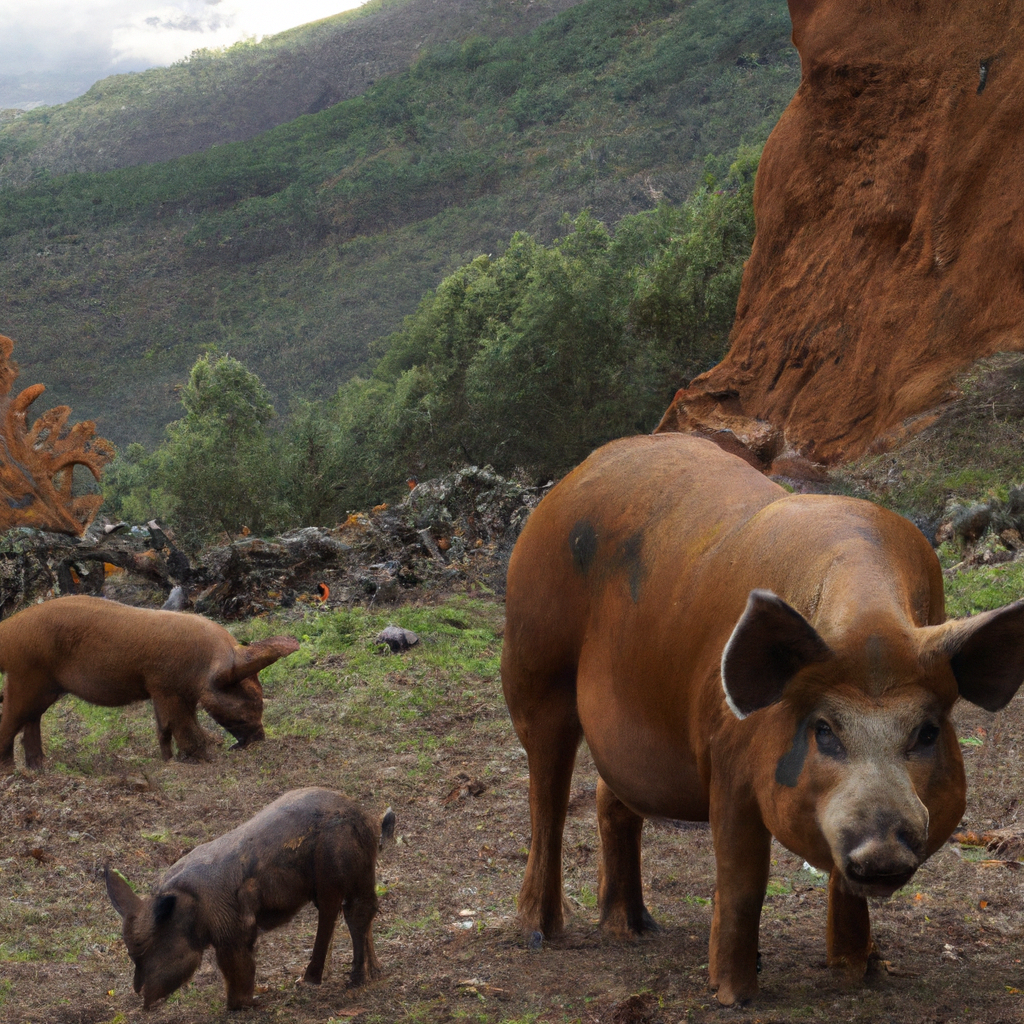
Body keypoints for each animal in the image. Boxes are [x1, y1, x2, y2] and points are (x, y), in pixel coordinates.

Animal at [0, 593, 299, 770]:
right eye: (248, 701)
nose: (259, 739)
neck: (205, 665)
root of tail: (10, 629)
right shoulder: (168, 689)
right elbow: (184, 726)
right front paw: (203, 759)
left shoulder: (161, 691)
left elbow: (163, 728)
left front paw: (167, 761)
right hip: (25, 678)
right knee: (10, 720)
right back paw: (11, 771)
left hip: (44, 689)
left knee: (30, 724)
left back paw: (39, 767)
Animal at [103, 786, 391, 1011]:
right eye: (131, 953)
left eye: (149, 949)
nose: (140, 994)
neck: (189, 909)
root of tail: (368, 818)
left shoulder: (233, 930)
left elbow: (238, 970)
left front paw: (247, 1005)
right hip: (352, 871)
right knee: (354, 911)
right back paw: (370, 974)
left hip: (337, 863)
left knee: (346, 910)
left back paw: (340, 980)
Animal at [499, 432, 1024, 999]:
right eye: (824, 730)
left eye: (926, 733)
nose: (883, 846)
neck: (871, 626)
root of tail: (573, 477)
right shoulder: (724, 754)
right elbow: (743, 881)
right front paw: (734, 995)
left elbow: (841, 883)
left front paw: (855, 974)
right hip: (533, 663)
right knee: (546, 797)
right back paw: (538, 933)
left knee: (609, 798)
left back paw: (635, 930)